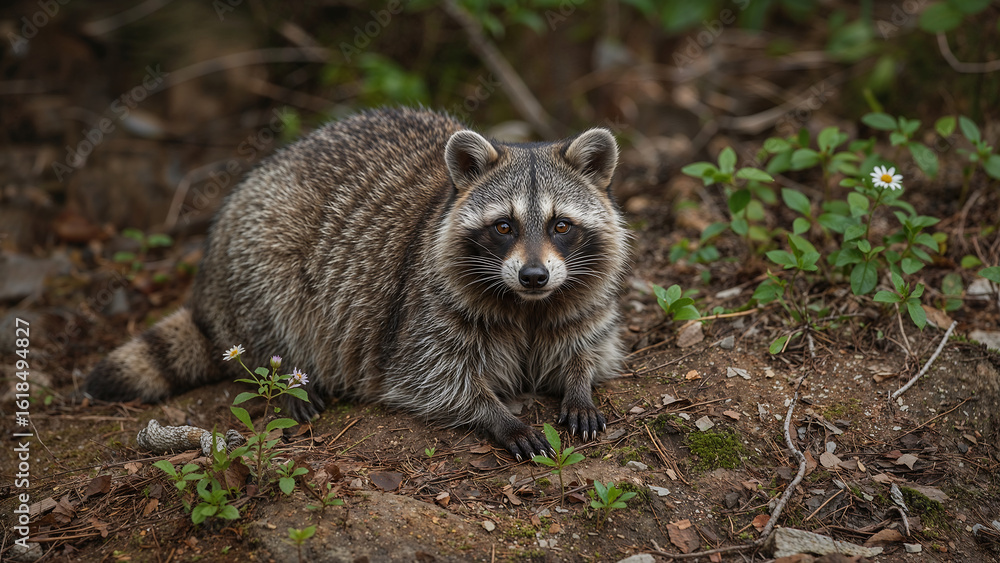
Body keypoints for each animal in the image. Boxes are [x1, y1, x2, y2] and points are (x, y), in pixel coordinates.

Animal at [84, 108, 630, 460]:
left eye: (561, 225)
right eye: (504, 227)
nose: (534, 275)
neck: (526, 301)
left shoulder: (582, 291)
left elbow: (585, 344)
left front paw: (579, 382)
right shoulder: (422, 308)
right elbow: (432, 378)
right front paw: (497, 414)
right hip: (257, 248)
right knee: (271, 306)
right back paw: (285, 369)